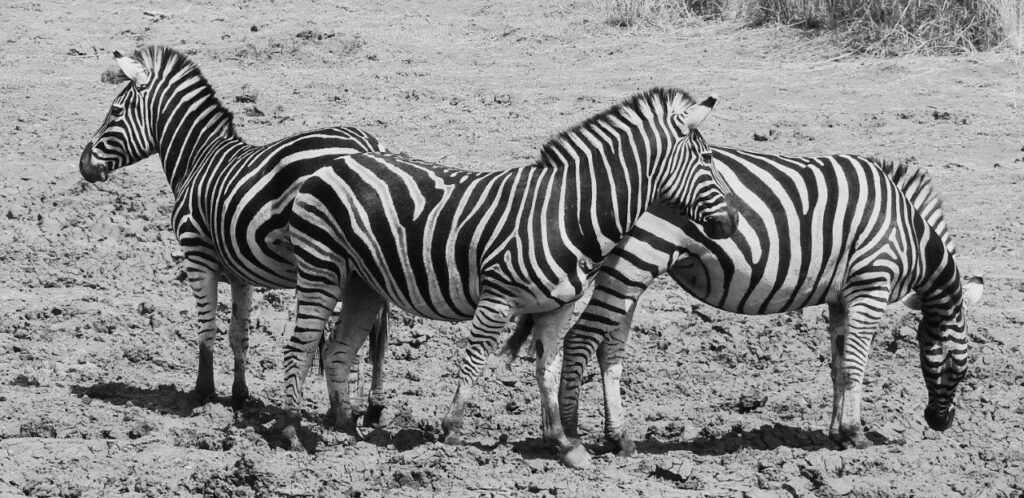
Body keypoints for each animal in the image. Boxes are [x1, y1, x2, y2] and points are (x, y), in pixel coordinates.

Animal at [78, 46, 390, 417]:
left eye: (115, 111)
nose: (83, 166)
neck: (198, 158)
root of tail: (367, 144)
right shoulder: (242, 269)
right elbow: (239, 333)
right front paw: (240, 394)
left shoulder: (197, 255)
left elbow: (207, 327)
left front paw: (203, 392)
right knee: (378, 334)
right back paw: (370, 407)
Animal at [279, 88, 739, 464]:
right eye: (707, 160)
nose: (732, 223)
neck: (568, 213)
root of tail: (336, 162)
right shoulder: (497, 300)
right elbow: (474, 361)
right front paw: (452, 431)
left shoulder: (558, 307)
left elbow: (548, 370)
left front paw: (565, 444)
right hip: (321, 267)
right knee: (298, 347)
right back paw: (291, 433)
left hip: (364, 283)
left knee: (337, 349)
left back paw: (345, 430)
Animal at [508, 149, 982, 465]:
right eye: (960, 365)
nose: (941, 424)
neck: (909, 233)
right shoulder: (871, 284)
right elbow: (855, 365)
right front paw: (855, 435)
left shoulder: (841, 297)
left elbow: (836, 364)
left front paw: (835, 434)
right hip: (638, 258)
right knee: (581, 339)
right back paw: (572, 438)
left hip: (628, 269)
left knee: (610, 348)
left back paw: (619, 438)